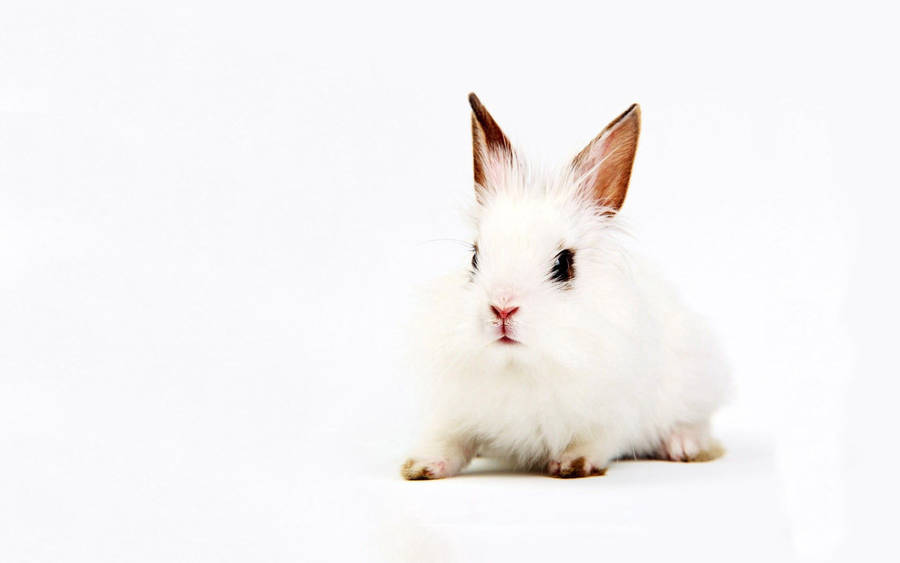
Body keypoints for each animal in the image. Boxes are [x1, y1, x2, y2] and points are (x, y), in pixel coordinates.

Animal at [401, 93, 731, 480]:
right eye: (475, 258)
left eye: (563, 264)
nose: (502, 308)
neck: (521, 367)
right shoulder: (456, 413)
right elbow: (449, 441)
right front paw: (421, 465)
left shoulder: (615, 414)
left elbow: (599, 440)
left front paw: (573, 463)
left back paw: (684, 446)